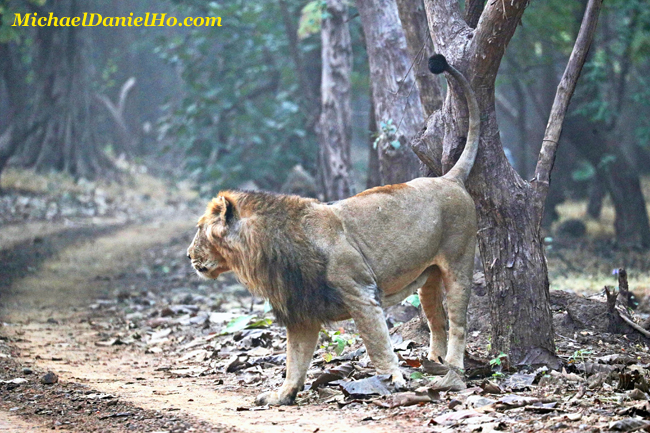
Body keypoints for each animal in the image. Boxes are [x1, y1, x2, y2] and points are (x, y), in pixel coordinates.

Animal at [185, 54, 478, 404]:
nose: (187, 255)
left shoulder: (361, 293)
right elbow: (295, 359)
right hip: (428, 278)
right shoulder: (301, 310)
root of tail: (449, 178)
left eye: (199, 229)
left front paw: (393, 379)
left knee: (458, 323)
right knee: (438, 321)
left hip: (459, 262)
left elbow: (377, 344)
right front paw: (282, 395)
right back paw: (433, 363)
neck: (264, 252)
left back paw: (451, 373)